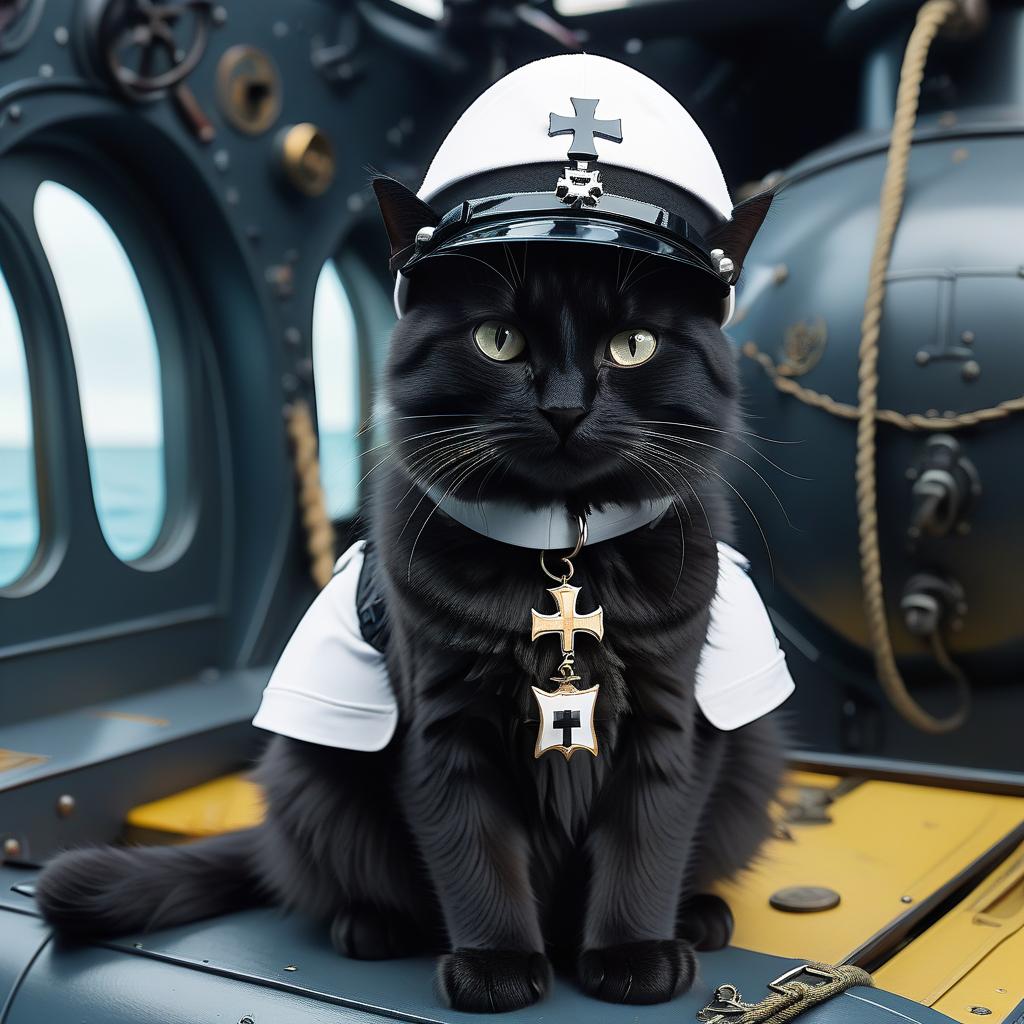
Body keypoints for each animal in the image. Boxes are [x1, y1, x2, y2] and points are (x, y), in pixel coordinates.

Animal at [32, 186, 782, 1015]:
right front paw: (495, 965)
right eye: (498, 339)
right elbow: (474, 849)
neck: (560, 557)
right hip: (311, 776)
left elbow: (648, 838)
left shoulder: (668, 711)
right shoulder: (442, 720)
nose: (564, 408)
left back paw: (701, 916)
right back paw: (371, 927)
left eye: (633, 345)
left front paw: (632, 953)